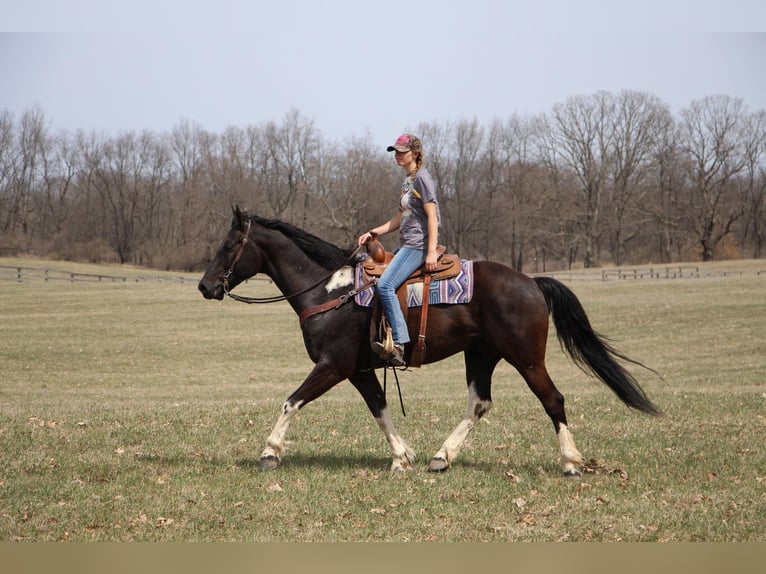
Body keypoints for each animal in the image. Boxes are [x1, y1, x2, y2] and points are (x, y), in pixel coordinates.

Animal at [198, 207, 660, 476]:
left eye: (229, 244)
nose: (205, 286)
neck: (331, 291)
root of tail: (531, 281)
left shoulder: (332, 365)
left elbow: (291, 402)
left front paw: (270, 452)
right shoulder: (360, 370)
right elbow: (380, 410)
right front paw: (403, 457)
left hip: (527, 359)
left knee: (554, 400)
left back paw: (570, 462)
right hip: (481, 355)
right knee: (479, 403)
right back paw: (443, 456)